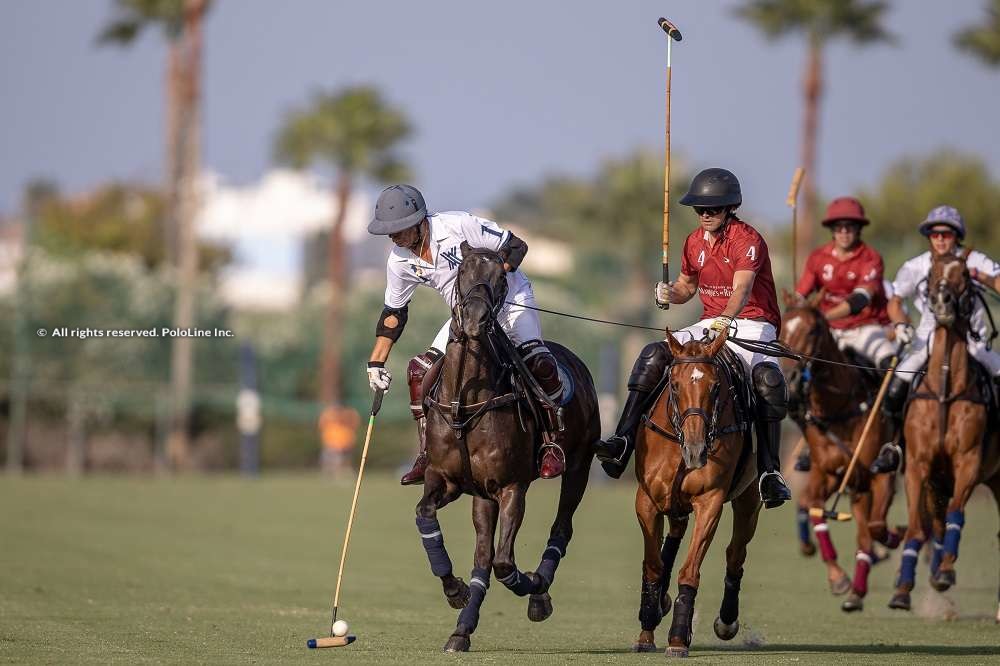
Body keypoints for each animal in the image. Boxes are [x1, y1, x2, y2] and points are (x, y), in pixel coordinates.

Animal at [410, 243, 596, 648]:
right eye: (462, 271)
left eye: (500, 278)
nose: (476, 320)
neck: (464, 402)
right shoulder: (447, 480)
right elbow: (425, 515)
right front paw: (455, 591)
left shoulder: (512, 486)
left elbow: (504, 562)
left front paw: (533, 588)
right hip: (483, 495)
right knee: (482, 554)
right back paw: (462, 628)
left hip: (579, 464)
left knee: (561, 527)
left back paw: (539, 591)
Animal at [628, 326, 760, 652]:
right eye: (674, 386)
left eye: (715, 388)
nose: (696, 451)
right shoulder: (646, 501)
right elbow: (653, 565)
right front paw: (647, 630)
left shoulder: (709, 502)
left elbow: (690, 570)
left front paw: (677, 638)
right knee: (674, 535)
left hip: (750, 500)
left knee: (735, 553)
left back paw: (726, 621)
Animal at [780, 298, 908, 608]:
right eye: (782, 327)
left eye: (812, 330)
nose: (790, 377)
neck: (839, 406)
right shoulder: (830, 475)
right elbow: (813, 507)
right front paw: (839, 579)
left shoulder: (880, 477)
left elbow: (877, 526)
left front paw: (894, 538)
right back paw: (857, 591)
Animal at [892, 250, 1000, 612]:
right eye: (934, 270)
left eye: (965, 274)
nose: (942, 301)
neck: (944, 389)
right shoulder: (918, 466)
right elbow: (916, 526)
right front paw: (903, 588)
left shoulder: (968, 461)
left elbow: (956, 514)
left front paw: (946, 571)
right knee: (935, 524)